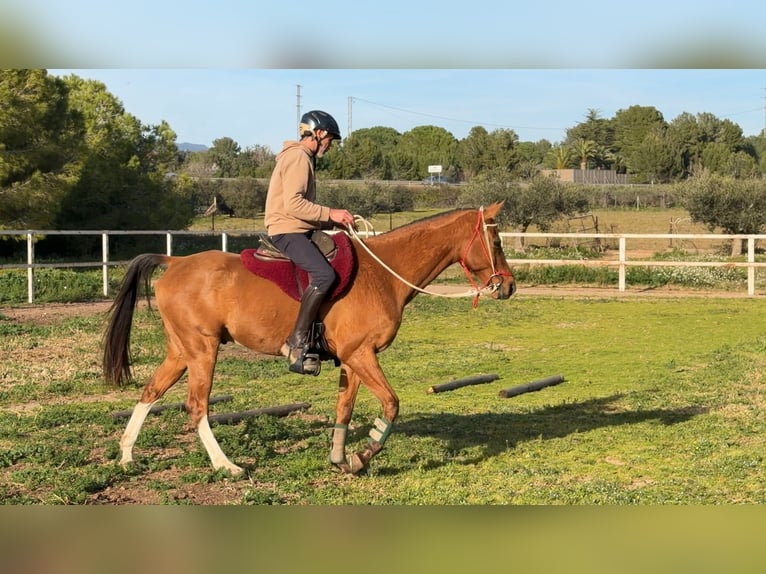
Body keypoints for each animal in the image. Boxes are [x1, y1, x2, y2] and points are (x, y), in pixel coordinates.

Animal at [102, 202, 516, 476]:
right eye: (495, 241)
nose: (509, 286)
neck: (383, 274)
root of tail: (174, 263)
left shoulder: (352, 360)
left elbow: (344, 410)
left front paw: (341, 459)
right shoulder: (362, 355)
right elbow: (391, 404)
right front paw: (364, 454)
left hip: (181, 351)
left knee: (151, 392)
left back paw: (126, 455)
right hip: (202, 351)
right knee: (197, 406)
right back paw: (227, 465)